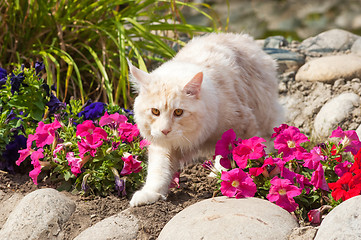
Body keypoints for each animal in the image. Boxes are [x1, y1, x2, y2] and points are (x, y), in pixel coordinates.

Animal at [128, 32, 282, 207]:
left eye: (178, 112)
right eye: (155, 111)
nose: (165, 130)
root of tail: (242, 37)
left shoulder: (242, 122)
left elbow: (246, 152)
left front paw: (249, 175)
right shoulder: (163, 145)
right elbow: (158, 171)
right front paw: (149, 194)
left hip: (264, 111)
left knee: (267, 137)